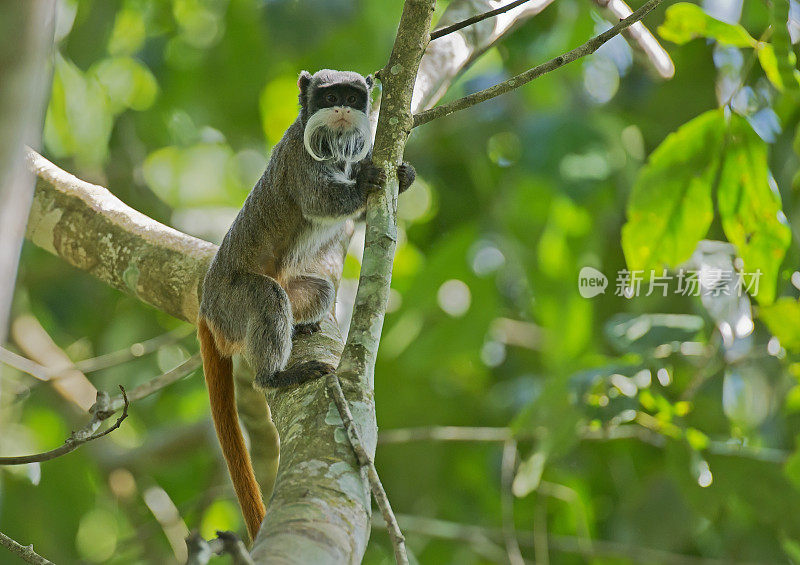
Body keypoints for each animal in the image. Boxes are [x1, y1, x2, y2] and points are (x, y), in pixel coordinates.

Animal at [197, 68, 416, 540]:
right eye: (329, 97)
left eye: (352, 96)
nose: (342, 107)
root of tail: (206, 307)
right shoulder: (299, 158)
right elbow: (319, 200)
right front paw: (367, 181)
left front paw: (403, 177)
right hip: (230, 301)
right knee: (266, 298)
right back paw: (276, 376)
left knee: (319, 291)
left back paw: (303, 326)